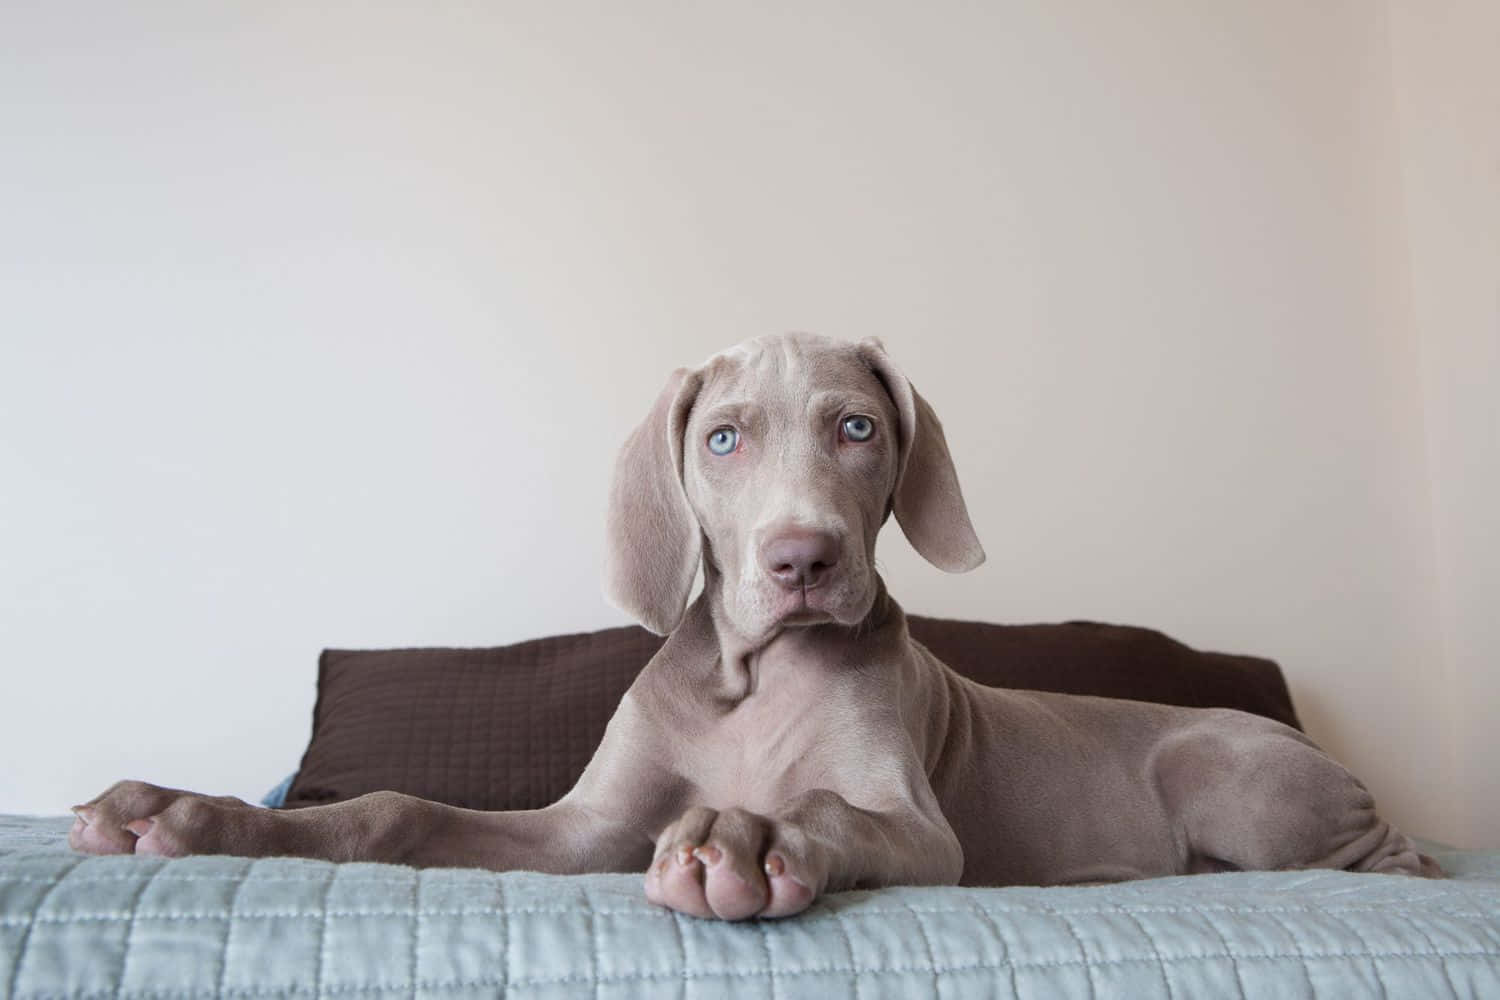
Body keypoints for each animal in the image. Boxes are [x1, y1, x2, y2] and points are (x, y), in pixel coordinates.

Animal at [73, 335, 1440, 923]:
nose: (803, 561)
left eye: (857, 427)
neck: (749, 679)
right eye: (723, 437)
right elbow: (396, 810)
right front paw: (184, 814)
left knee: (1374, 855)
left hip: (1230, 770)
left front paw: (759, 836)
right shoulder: (583, 834)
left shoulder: (918, 827)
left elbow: (837, 809)